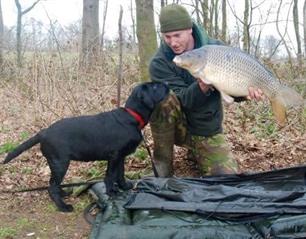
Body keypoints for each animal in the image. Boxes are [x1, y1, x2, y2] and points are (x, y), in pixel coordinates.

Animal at [2, 81, 170, 211]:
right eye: (155, 86)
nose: (167, 83)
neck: (132, 116)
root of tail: (43, 132)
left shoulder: (121, 157)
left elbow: (120, 174)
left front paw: (125, 187)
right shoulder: (114, 156)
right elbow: (110, 176)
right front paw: (112, 193)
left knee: (54, 184)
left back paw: (63, 194)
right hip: (60, 163)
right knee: (52, 186)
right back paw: (63, 206)